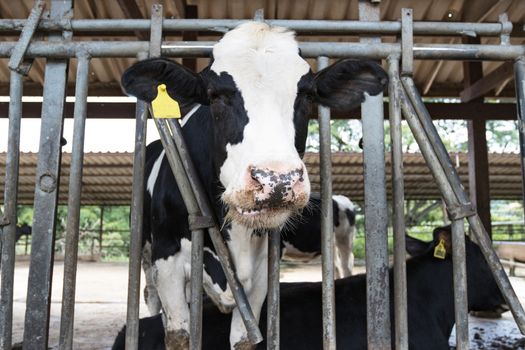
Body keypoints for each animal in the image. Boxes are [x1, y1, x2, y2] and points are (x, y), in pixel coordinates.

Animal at [121, 21, 386, 350]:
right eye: (215, 96)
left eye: (307, 96)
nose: (277, 180)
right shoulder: (168, 261)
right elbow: (180, 334)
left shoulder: (260, 274)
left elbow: (243, 338)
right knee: (150, 297)